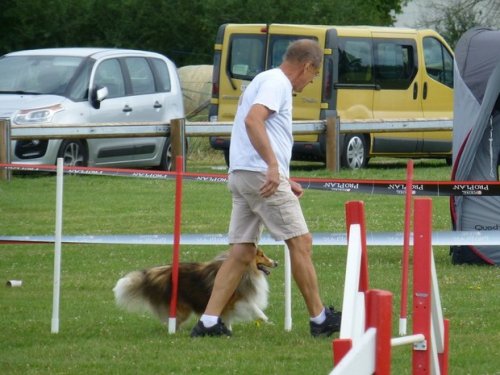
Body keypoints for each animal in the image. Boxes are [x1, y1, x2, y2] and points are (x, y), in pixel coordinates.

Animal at [112, 248, 280, 330]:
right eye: (261, 255)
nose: (276, 263)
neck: (246, 270)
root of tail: (155, 274)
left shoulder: (228, 304)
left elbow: (228, 317)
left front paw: (227, 329)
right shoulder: (236, 299)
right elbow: (254, 307)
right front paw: (266, 320)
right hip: (182, 309)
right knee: (173, 320)